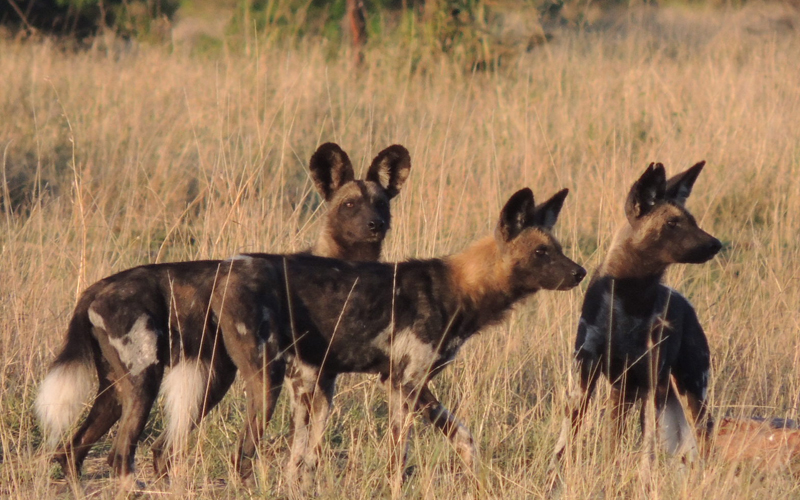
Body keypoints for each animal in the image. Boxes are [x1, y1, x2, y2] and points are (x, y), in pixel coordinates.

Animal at [33, 142, 410, 484]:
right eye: (349, 205)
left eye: (380, 204)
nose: (375, 224)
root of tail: (96, 288)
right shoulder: (300, 381)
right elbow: (297, 452)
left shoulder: (322, 386)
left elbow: (309, 456)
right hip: (190, 380)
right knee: (127, 452)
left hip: (173, 385)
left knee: (88, 450)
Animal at [211, 187, 588, 492]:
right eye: (540, 253)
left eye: (558, 249)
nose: (580, 272)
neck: (460, 291)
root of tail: (229, 267)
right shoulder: (408, 382)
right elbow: (424, 451)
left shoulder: (400, 386)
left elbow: (434, 449)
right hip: (267, 384)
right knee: (243, 455)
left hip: (304, 392)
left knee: (297, 463)